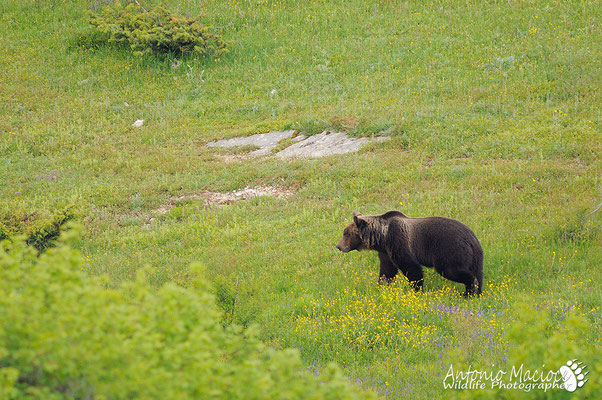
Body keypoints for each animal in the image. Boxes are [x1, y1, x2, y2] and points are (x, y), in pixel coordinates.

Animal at [332, 211, 482, 296]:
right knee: (478, 272)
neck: (382, 236)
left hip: (450, 249)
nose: (338, 246)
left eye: (346, 233)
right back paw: (477, 292)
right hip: (475, 257)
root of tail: (471, 238)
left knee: (451, 270)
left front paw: (417, 290)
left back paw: (469, 290)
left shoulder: (398, 241)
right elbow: (387, 271)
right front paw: (381, 287)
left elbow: (411, 267)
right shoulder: (386, 252)